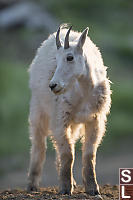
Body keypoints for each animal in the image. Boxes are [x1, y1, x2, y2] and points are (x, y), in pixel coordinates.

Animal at [27, 24, 111, 198]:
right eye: (56, 59)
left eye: (70, 57)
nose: (53, 85)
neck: (84, 91)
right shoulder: (61, 118)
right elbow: (68, 153)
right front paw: (65, 188)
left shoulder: (95, 119)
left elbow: (88, 154)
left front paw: (92, 188)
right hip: (39, 109)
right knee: (39, 144)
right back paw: (32, 184)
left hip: (73, 123)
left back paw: (71, 181)